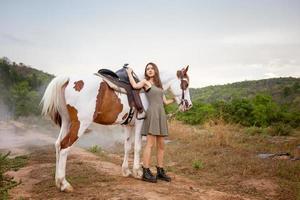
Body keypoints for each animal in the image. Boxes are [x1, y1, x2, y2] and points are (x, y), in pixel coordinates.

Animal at [40, 65, 192, 191]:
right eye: (186, 83)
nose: (188, 104)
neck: (144, 91)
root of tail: (68, 79)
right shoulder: (140, 123)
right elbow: (137, 147)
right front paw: (138, 172)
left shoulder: (128, 125)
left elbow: (127, 147)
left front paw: (126, 171)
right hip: (80, 124)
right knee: (65, 147)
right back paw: (64, 184)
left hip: (66, 122)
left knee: (58, 144)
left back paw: (57, 181)